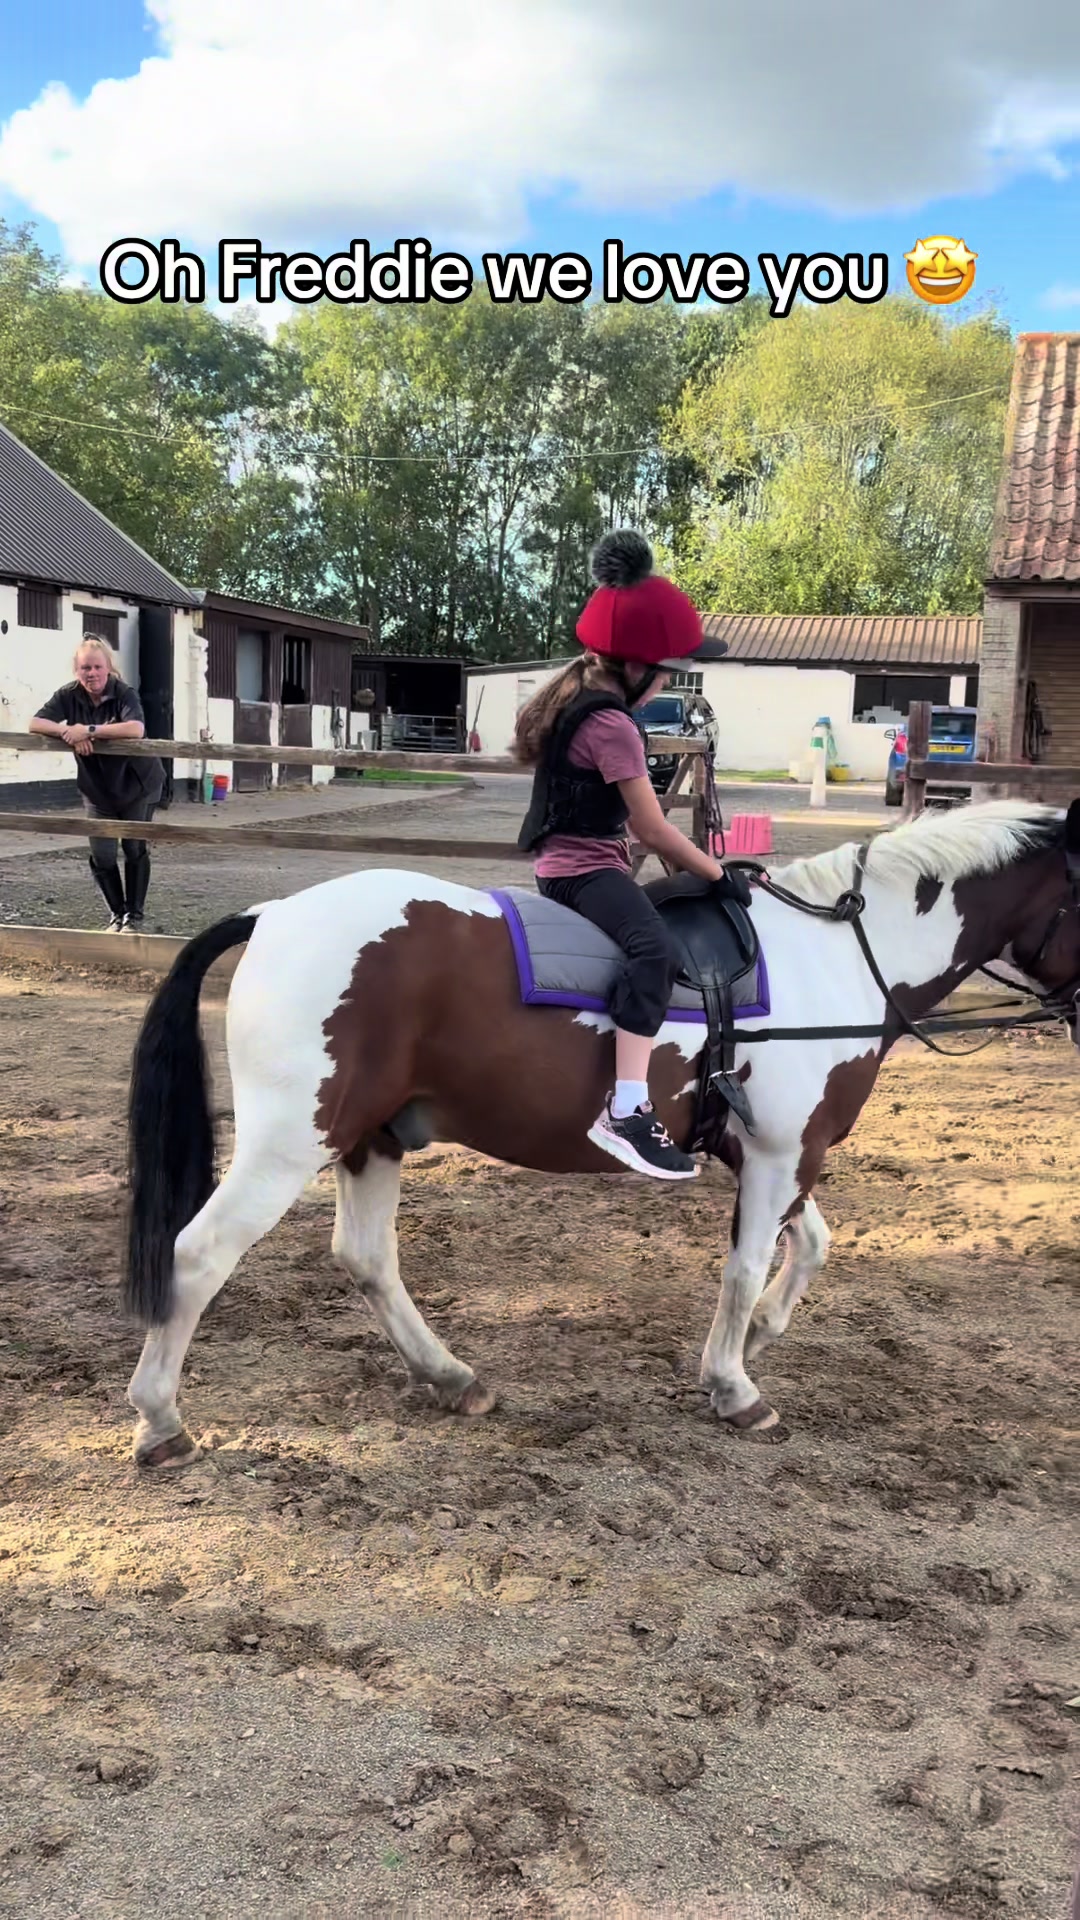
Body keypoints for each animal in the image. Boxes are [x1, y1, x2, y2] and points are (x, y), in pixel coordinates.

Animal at [123, 797, 1080, 1469]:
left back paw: (452, 1378)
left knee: (365, 1259)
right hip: (290, 1144)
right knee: (198, 1254)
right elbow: (746, 1267)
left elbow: (808, 1246)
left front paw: (758, 1338)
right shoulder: (780, 1155)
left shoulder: (773, 1154)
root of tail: (274, 913)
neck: (840, 955)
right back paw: (162, 1422)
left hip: (372, 1138)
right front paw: (735, 1385)